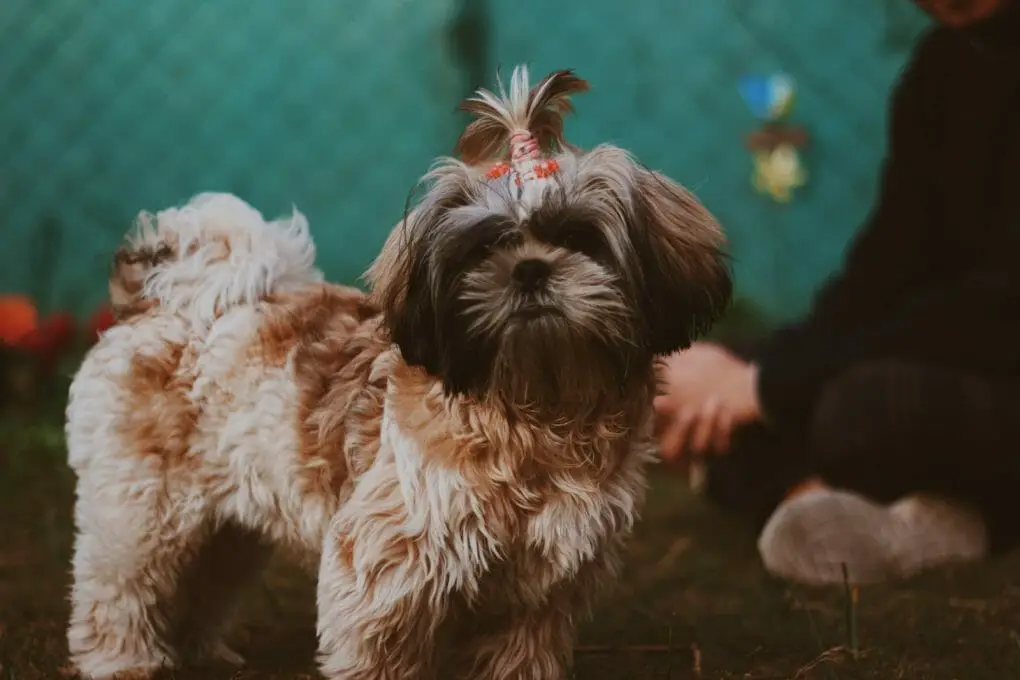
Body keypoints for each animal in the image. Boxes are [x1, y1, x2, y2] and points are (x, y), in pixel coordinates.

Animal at [65, 65, 734, 680]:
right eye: (484, 249)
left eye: (579, 238)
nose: (531, 269)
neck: (535, 403)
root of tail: (168, 300)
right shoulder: (388, 571)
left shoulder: (539, 594)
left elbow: (520, 654)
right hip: (141, 515)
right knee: (117, 593)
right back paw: (122, 661)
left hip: (227, 524)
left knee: (204, 586)